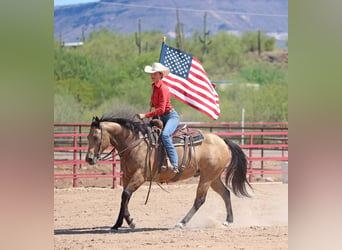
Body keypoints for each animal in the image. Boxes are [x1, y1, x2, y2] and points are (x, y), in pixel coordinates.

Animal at [85, 115, 251, 230]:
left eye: (96, 137)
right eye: (87, 137)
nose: (89, 159)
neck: (135, 143)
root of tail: (222, 140)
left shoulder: (140, 176)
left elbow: (126, 195)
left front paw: (131, 222)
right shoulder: (127, 176)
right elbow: (124, 198)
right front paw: (117, 224)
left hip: (207, 178)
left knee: (200, 200)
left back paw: (181, 223)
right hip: (213, 177)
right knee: (225, 193)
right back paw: (228, 221)